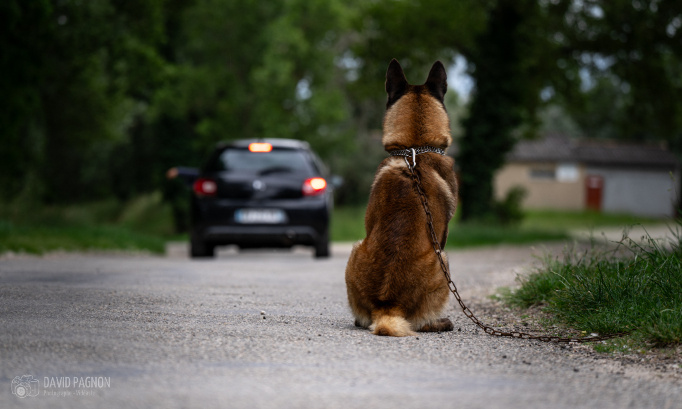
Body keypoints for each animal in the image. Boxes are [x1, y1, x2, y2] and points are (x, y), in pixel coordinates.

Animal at [346, 59, 456, 336]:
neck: (415, 147)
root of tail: (388, 307)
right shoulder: (443, 237)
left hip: (354, 251)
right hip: (443, 260)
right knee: (421, 323)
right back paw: (441, 323)